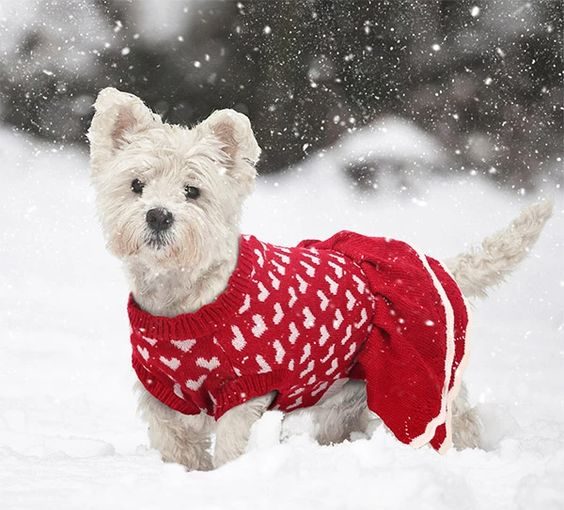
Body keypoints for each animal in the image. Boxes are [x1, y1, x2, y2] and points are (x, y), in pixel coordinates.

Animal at [87, 86, 552, 470]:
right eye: (137, 185)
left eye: (192, 191)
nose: (158, 215)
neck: (185, 300)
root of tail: (440, 266)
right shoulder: (161, 394)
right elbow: (177, 447)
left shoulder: (245, 390)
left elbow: (233, 446)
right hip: (347, 398)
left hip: (419, 383)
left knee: (455, 421)